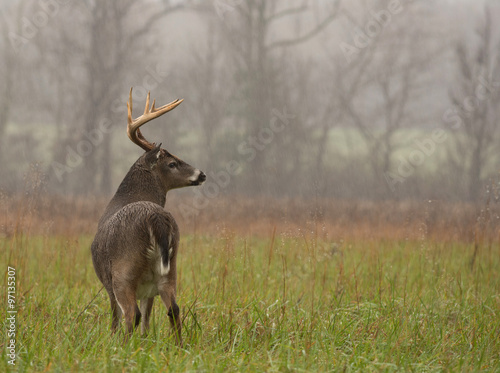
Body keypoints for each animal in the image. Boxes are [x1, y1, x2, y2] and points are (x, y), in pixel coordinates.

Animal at [91, 87, 206, 346]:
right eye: (172, 162)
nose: (201, 174)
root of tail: (156, 219)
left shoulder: (107, 281)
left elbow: (115, 318)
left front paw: (112, 341)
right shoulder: (149, 288)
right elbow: (147, 320)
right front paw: (144, 343)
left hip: (123, 272)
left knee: (130, 314)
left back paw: (122, 348)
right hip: (169, 269)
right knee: (174, 308)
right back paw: (178, 346)